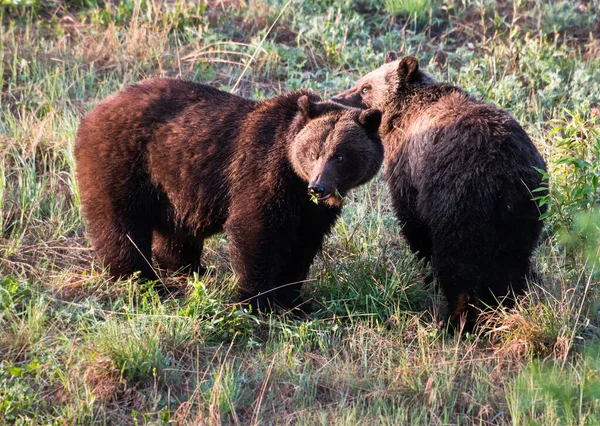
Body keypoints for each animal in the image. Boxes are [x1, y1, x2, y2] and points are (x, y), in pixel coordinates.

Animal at [76, 77, 384, 310]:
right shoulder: (263, 171)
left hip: (173, 182)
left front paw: (294, 300)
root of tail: (95, 109)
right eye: (312, 152)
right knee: (121, 225)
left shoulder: (312, 209)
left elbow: (303, 243)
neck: (294, 176)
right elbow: (256, 229)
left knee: (177, 231)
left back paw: (189, 270)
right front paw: (256, 300)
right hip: (125, 162)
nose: (318, 187)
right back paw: (141, 278)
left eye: (340, 156)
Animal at [332, 52, 548, 326]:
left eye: (365, 87)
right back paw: (503, 307)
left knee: (458, 262)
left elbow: (413, 224)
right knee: (512, 263)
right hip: (524, 211)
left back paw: (456, 318)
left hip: (460, 201)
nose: (336, 98)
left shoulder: (410, 169)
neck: (402, 115)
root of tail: (505, 176)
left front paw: (426, 274)